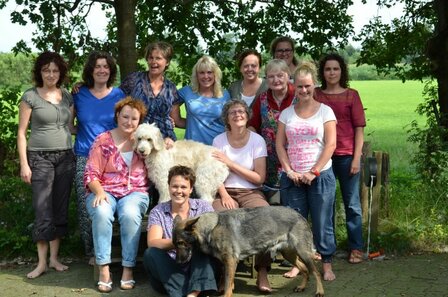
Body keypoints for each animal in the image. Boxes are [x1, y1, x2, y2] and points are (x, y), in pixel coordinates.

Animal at [173, 205, 324, 296]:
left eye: (181, 243)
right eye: (174, 244)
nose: (178, 262)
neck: (211, 228)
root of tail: (300, 215)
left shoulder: (230, 261)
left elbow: (227, 285)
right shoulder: (226, 263)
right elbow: (228, 283)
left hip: (303, 253)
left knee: (315, 272)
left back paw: (320, 291)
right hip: (289, 254)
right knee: (305, 269)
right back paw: (302, 287)